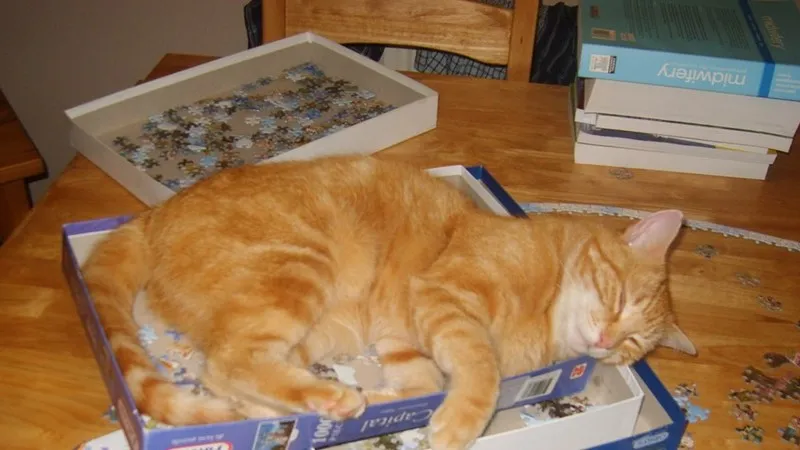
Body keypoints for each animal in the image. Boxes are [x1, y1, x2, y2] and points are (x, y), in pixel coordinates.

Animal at [80, 154, 696, 450]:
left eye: (634, 345)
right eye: (620, 297)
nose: (607, 341)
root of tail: (152, 215)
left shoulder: (404, 340)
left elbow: (422, 386)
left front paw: (393, 404)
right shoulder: (447, 296)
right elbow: (480, 371)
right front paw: (458, 425)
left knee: (227, 375)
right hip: (299, 269)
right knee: (229, 362)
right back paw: (329, 399)